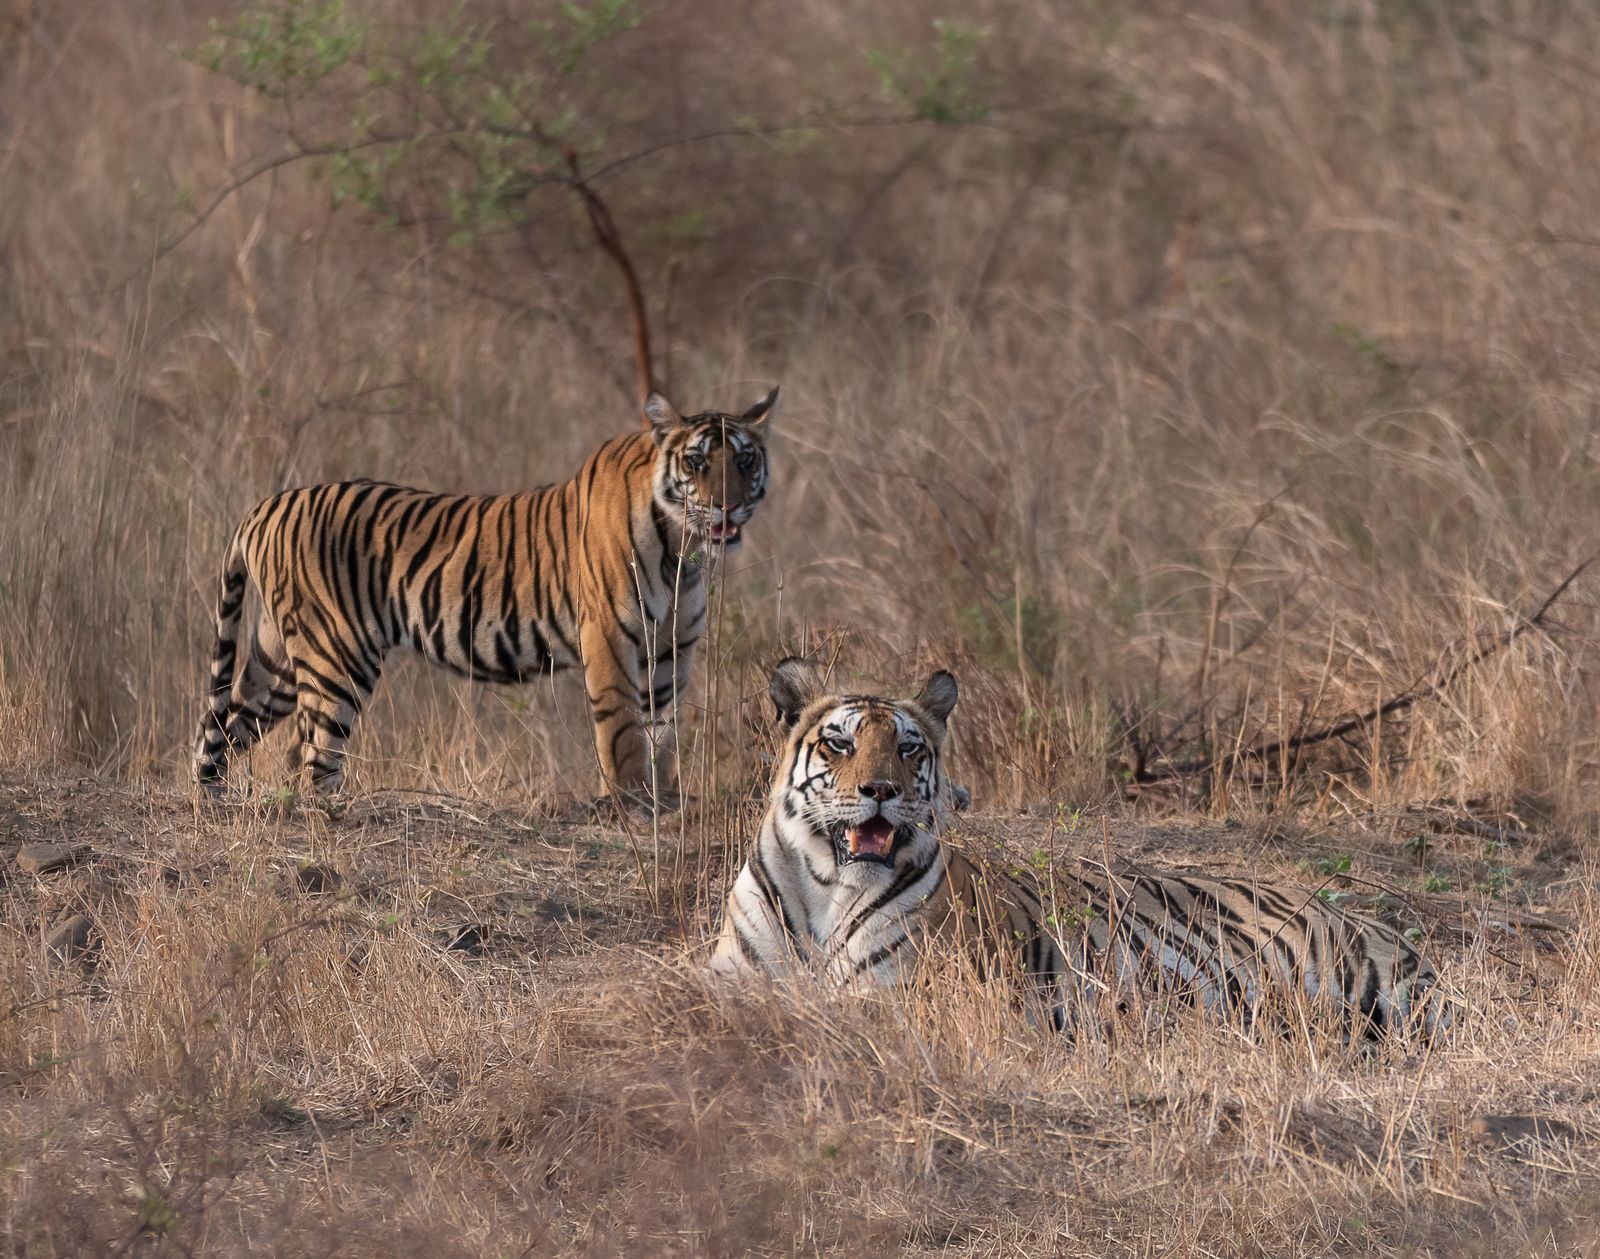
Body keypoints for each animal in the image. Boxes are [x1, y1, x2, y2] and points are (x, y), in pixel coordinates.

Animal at [194, 386, 778, 803]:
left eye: (745, 461)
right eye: (697, 463)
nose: (727, 506)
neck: (684, 549)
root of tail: (264, 507)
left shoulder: (672, 647)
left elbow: (664, 733)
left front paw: (664, 800)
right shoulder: (611, 637)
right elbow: (624, 730)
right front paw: (633, 807)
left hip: (278, 660)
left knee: (221, 726)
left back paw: (213, 801)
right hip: (335, 655)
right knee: (311, 755)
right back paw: (334, 812)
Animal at [710, 658, 1450, 1039]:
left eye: (910, 746)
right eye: (839, 742)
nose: (882, 789)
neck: (824, 885)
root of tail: (1372, 921)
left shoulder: (891, 995)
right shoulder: (730, 980)